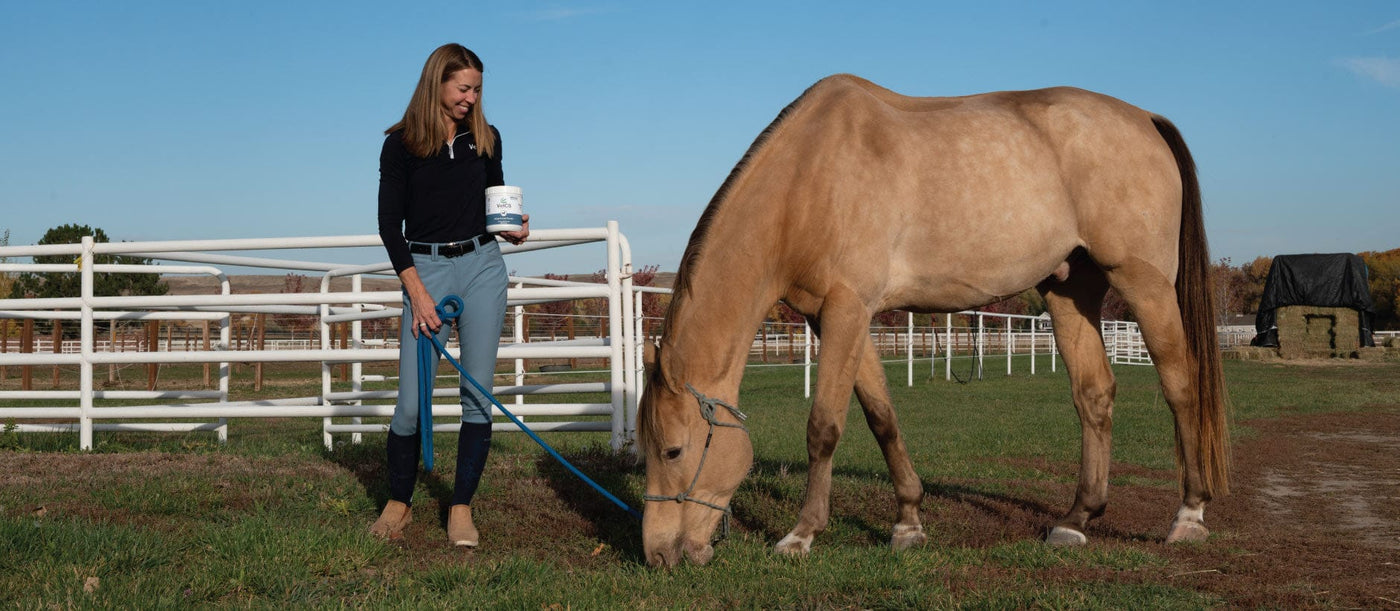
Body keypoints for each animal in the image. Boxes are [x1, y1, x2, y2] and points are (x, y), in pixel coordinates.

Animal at [636, 74, 1228, 567]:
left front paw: (801, 534)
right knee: (1094, 395)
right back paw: (1076, 519)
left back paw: (1189, 515)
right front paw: (908, 523)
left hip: (1144, 283)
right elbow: (881, 416)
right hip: (1070, 288)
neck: (809, 180)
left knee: (1181, 385)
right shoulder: (839, 318)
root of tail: (1145, 117)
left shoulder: (847, 309)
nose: (659, 555)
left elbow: (824, 427)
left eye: (673, 450)